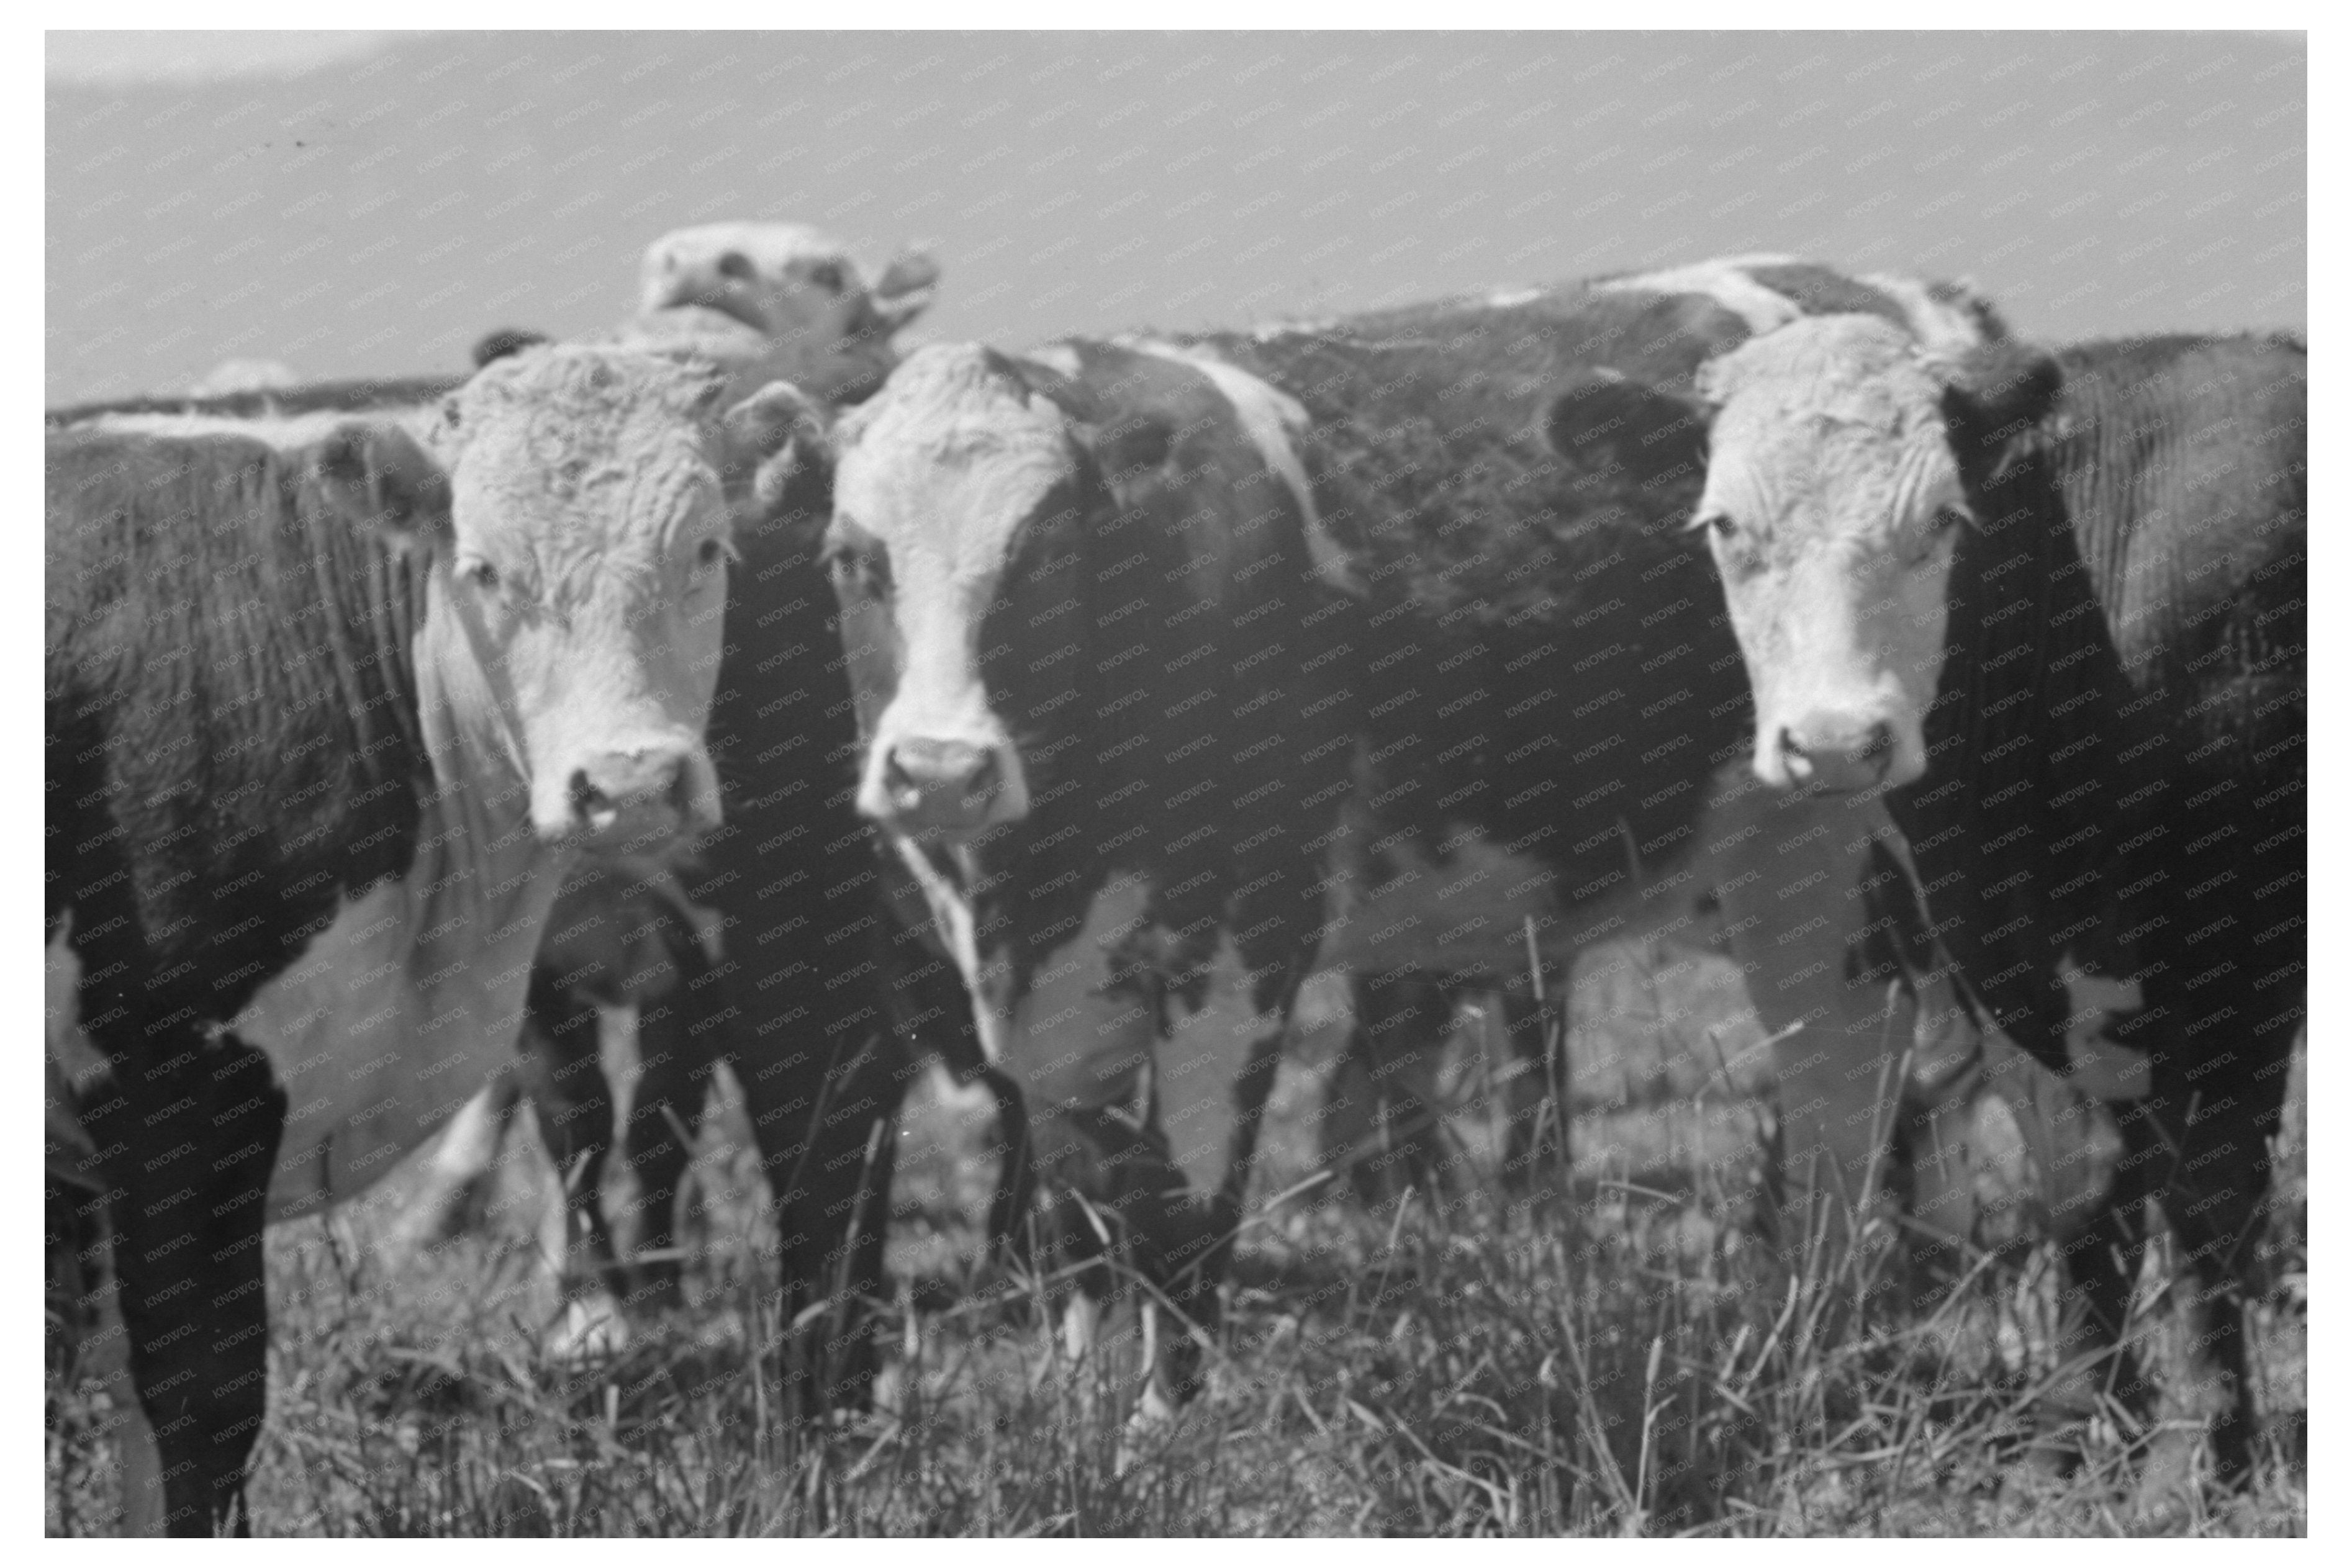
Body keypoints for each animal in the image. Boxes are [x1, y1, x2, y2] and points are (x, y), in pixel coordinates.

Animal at [1552, 312, 2305, 1504]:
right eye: (1725, 525)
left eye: (1944, 521)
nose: (1834, 744)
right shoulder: (1998, 946)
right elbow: (2078, 1178)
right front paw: (2066, 1434)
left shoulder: (2242, 935)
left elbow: (2210, 1183)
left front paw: (2196, 1454)